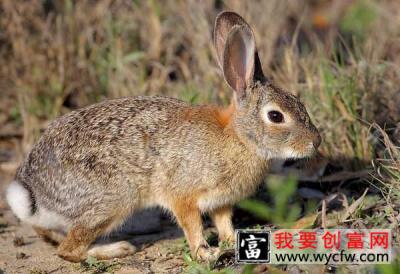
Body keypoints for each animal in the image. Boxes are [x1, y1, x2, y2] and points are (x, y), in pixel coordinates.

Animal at [4, 10, 320, 262]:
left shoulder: (221, 201)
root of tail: (34, 192)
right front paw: (205, 253)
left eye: (298, 101)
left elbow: (224, 222)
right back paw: (117, 249)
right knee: (68, 250)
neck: (239, 138)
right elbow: (192, 225)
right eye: (276, 116)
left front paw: (231, 241)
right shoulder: (183, 194)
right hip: (114, 200)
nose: (315, 142)